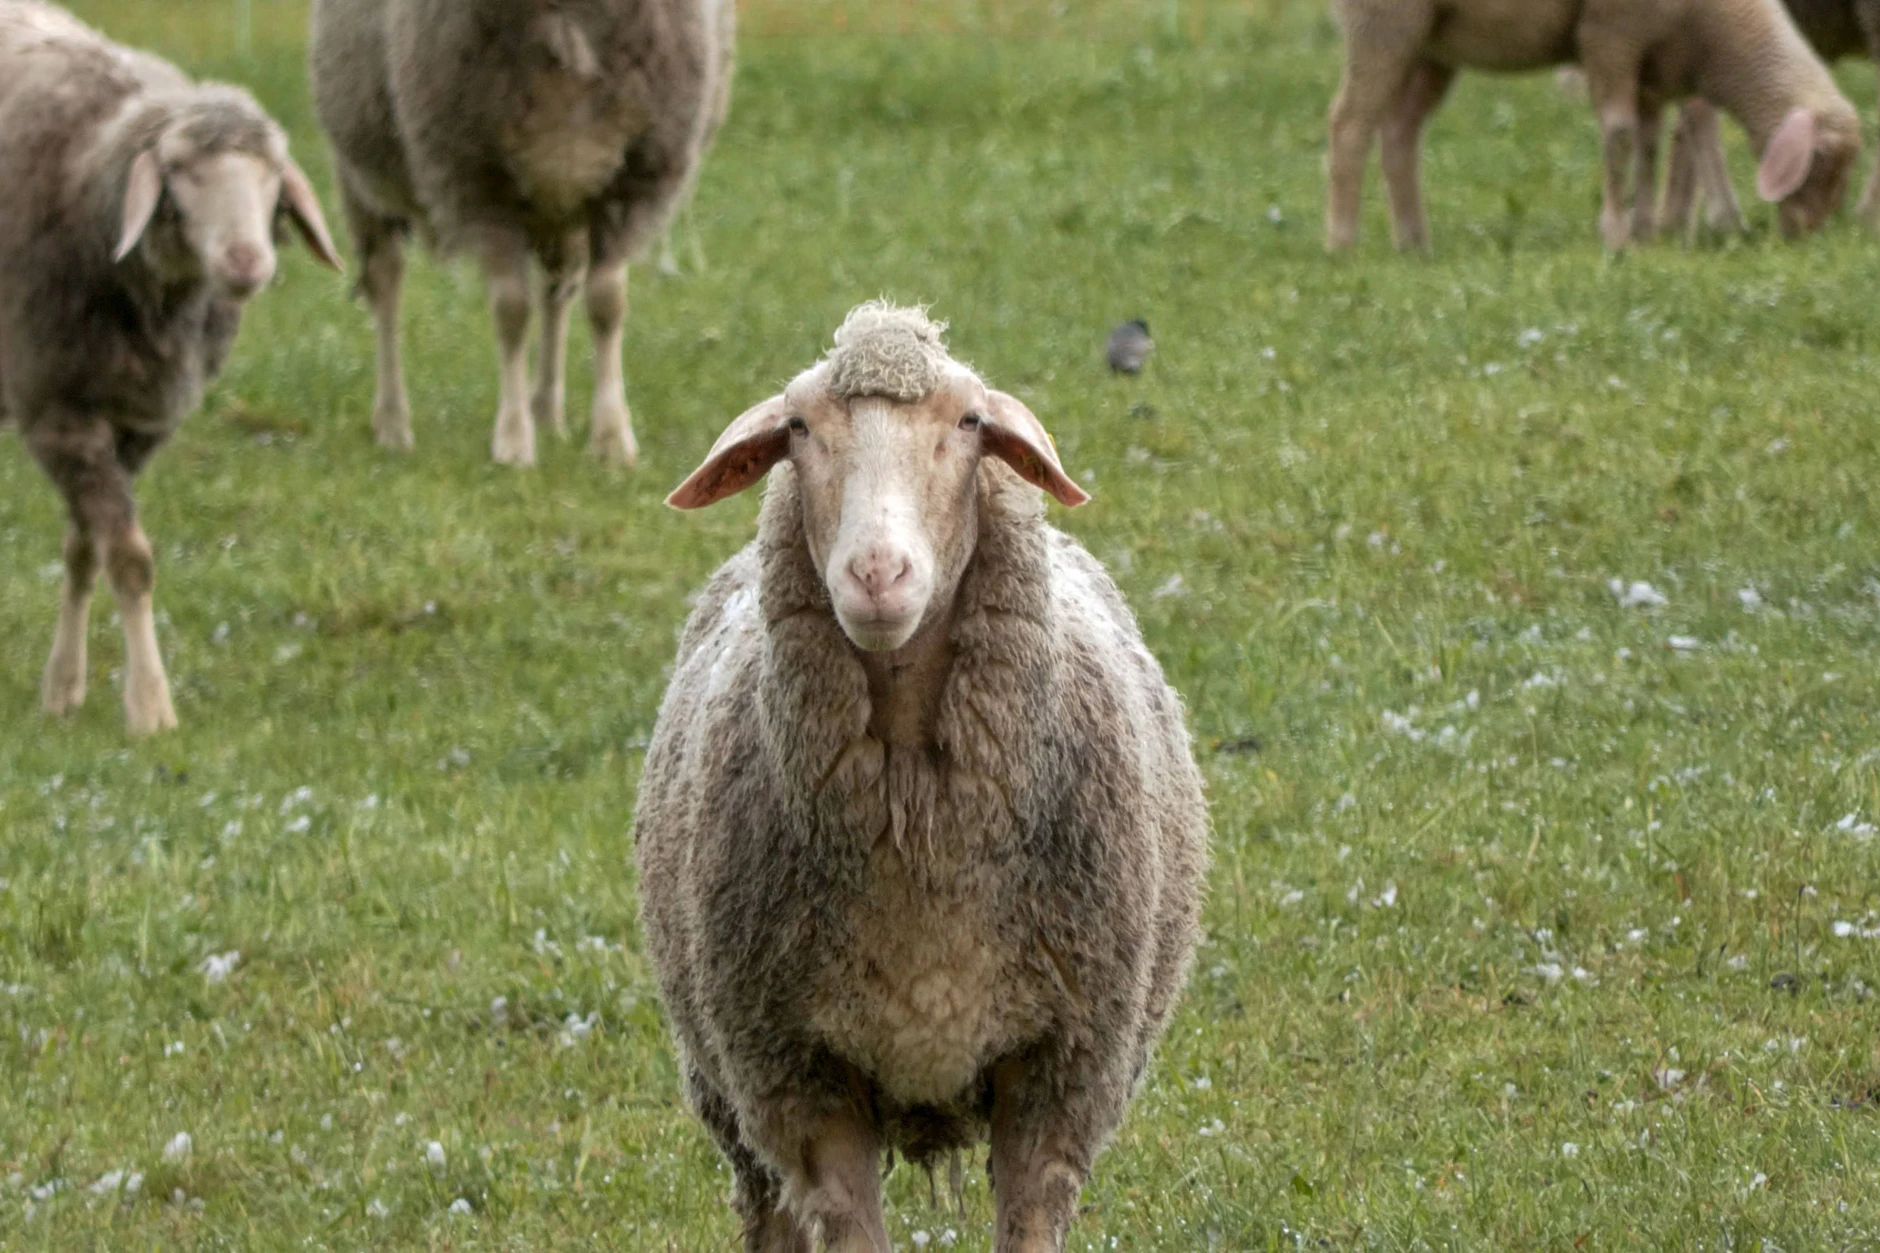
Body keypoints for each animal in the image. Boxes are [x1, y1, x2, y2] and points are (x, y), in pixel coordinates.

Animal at [0, 0, 341, 735]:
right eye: (182, 171)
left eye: (272, 177)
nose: (247, 262)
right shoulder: (57, 410)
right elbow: (130, 560)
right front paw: (150, 705)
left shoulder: (137, 422)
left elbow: (84, 549)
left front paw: (62, 688)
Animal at [309, 0, 735, 467]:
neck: (565, 16)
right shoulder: (479, 180)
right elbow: (512, 312)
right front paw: (513, 441)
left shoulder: (631, 180)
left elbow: (606, 305)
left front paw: (611, 439)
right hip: (361, 172)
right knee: (384, 283)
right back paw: (392, 424)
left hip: (561, 200)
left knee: (558, 290)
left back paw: (547, 410)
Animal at [634, 302, 1209, 1252]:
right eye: (798, 428)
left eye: (970, 423)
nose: (877, 573)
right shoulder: (802, 1081)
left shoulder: (1058, 1075)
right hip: (731, 1090)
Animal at [1326, 0, 1860, 251]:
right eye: (1822, 166)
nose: (1807, 237)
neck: (1720, 35)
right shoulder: (1609, 36)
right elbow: (1619, 137)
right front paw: (1616, 234)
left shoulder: (1651, 69)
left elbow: (1648, 147)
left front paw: (1645, 232)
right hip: (1384, 23)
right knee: (1348, 124)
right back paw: (1342, 243)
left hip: (1432, 44)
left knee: (1400, 132)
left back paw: (1415, 243)